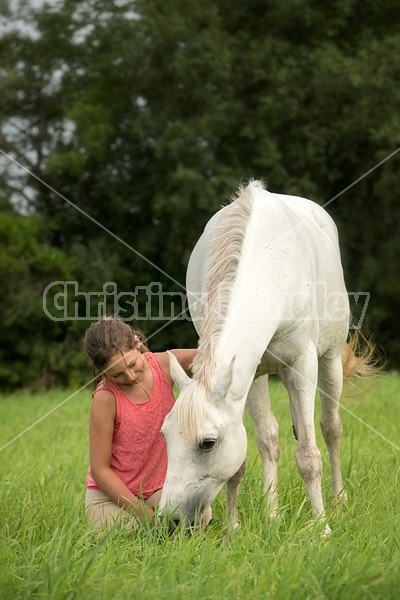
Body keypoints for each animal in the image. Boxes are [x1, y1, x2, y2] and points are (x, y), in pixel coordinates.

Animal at [160, 179, 366, 536]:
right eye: (165, 436)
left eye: (207, 443)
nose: (171, 521)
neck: (272, 264)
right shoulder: (250, 373)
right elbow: (257, 449)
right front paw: (235, 527)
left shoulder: (302, 366)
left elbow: (309, 456)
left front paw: (321, 527)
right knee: (271, 437)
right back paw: (272, 515)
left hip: (329, 362)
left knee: (331, 428)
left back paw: (338, 500)